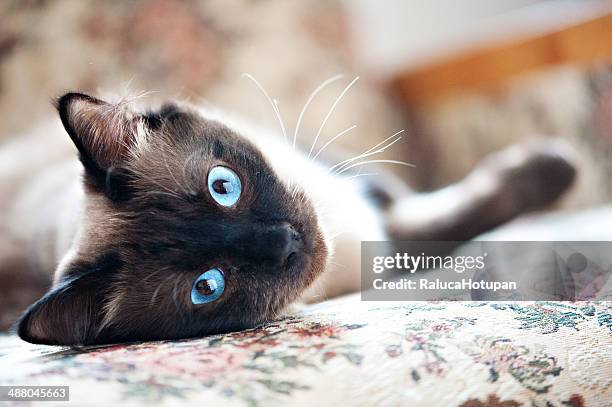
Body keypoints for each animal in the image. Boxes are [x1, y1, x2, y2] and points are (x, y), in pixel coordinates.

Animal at [0, 91, 576, 344]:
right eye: (207, 287)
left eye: (223, 186)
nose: (284, 241)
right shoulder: (385, 244)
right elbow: (450, 222)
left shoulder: (357, 192)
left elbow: (446, 205)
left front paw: (556, 170)